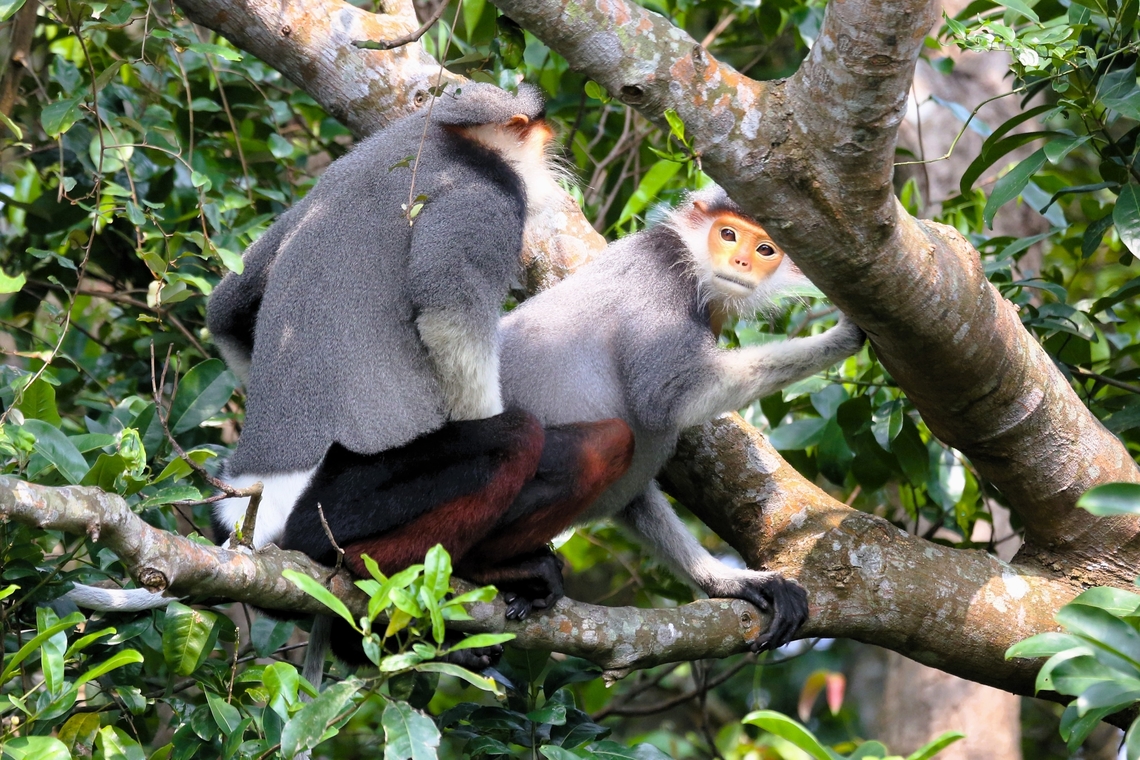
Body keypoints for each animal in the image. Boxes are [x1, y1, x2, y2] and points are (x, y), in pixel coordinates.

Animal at [494, 185, 867, 651]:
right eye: (728, 234)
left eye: (765, 249)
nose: (740, 262)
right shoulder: (663, 278)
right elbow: (665, 397)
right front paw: (842, 336)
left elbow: (636, 496)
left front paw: (732, 581)